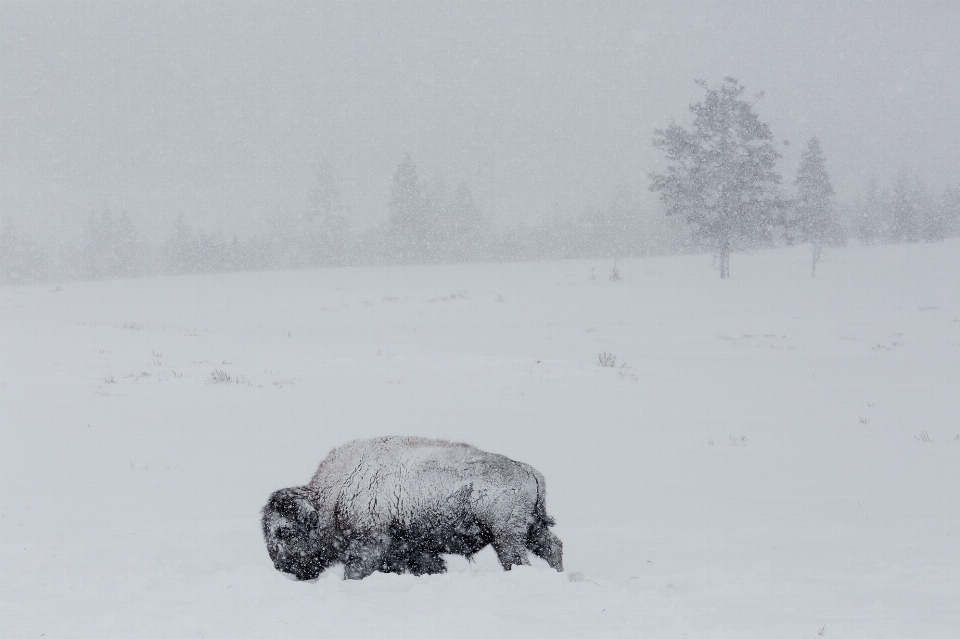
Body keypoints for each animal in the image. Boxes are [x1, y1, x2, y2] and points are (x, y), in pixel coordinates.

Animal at [260, 440, 564, 580]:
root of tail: (528, 471)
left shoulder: (370, 545)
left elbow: (356, 570)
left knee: (520, 560)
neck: (333, 497)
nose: (281, 567)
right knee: (552, 547)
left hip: (507, 537)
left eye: (284, 532)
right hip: (531, 529)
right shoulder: (412, 549)